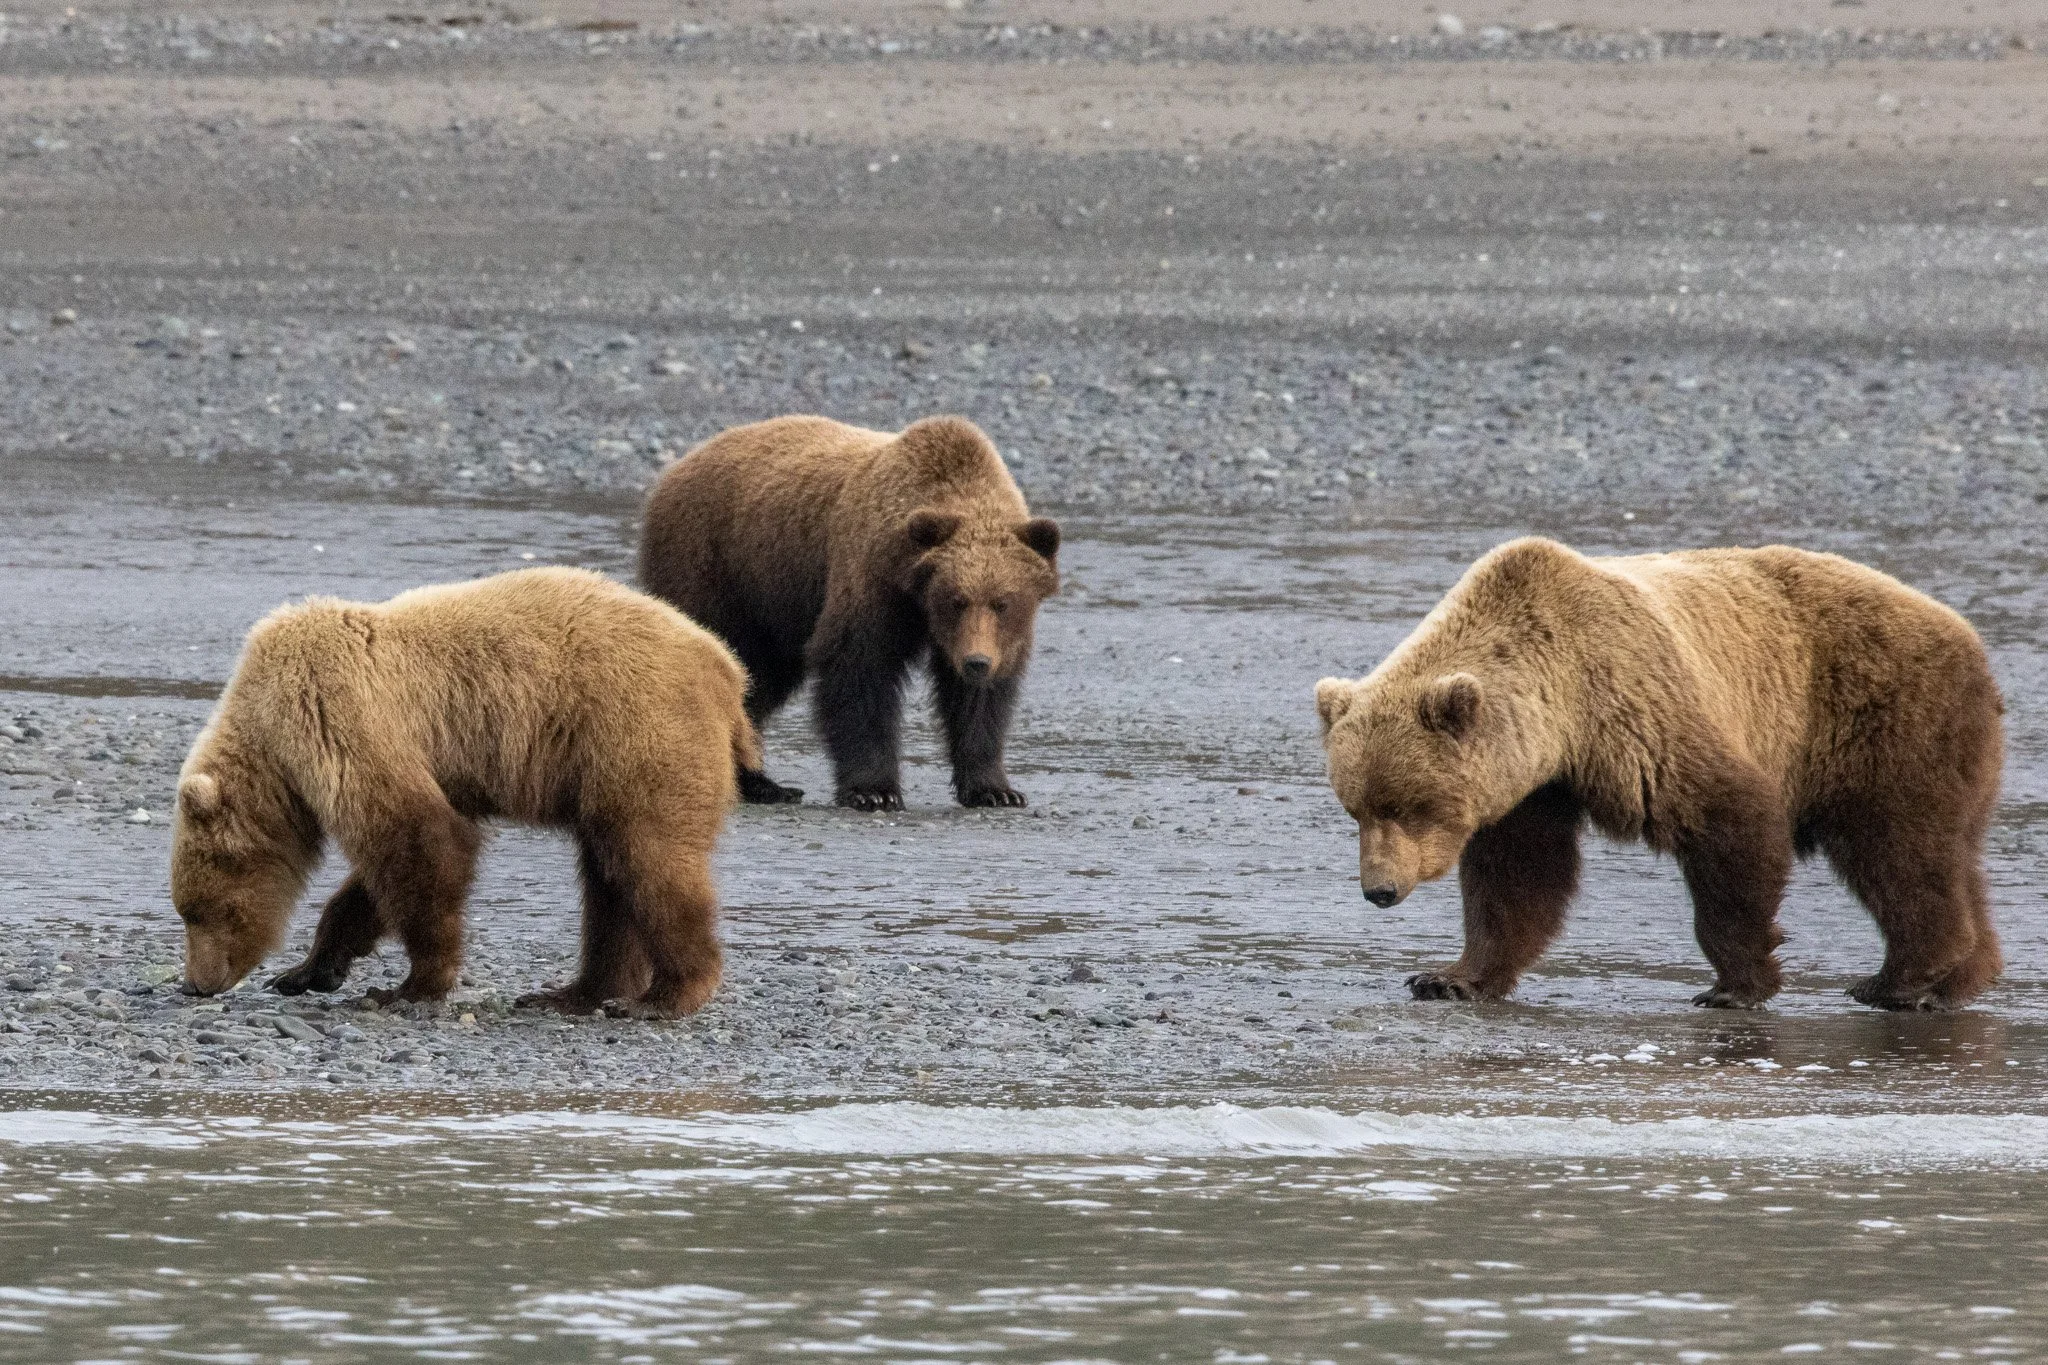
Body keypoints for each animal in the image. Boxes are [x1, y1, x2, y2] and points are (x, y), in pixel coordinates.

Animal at [170, 566, 755, 1018]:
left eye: (199, 911)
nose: (195, 984)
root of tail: (726, 670)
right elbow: (375, 879)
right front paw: (306, 970)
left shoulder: (337, 711)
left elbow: (417, 839)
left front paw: (409, 987)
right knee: (608, 879)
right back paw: (572, 993)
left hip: (639, 736)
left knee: (650, 862)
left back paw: (664, 996)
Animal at [639, 414, 1060, 812]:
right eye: (955, 599)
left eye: (1003, 602)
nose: (976, 662)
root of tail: (675, 469)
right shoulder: (869, 578)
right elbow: (859, 670)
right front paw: (873, 791)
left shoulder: (989, 638)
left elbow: (980, 703)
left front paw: (996, 790)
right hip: (718, 570)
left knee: (762, 677)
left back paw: (763, 784)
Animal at [1315, 537, 2005, 1012]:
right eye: (1357, 808)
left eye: (1410, 805)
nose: (1379, 890)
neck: (1562, 712)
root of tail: (1966, 632)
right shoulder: (1529, 785)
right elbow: (1517, 879)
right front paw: (1448, 977)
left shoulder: (1639, 711)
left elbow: (1730, 823)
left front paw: (1734, 985)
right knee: (1953, 858)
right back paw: (1958, 980)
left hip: (1886, 721)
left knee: (1899, 849)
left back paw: (1898, 979)